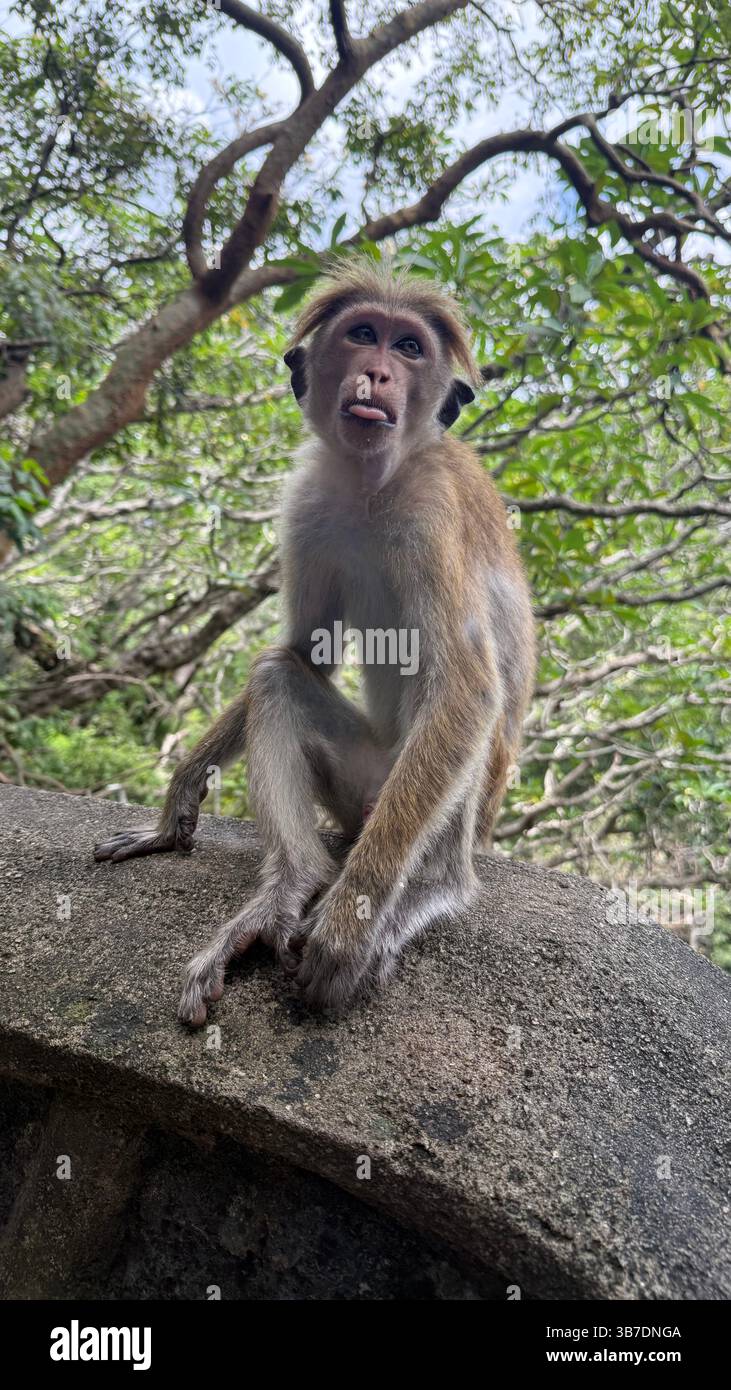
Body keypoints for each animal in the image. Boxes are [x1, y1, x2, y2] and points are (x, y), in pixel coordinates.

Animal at [94, 256, 535, 1025]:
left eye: (409, 348)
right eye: (363, 335)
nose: (378, 374)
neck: (371, 482)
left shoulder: (433, 509)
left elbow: (466, 685)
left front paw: (350, 922)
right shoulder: (308, 501)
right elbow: (303, 651)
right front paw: (176, 805)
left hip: (407, 805)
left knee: (458, 721)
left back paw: (426, 885)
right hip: (360, 789)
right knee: (276, 674)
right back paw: (289, 887)